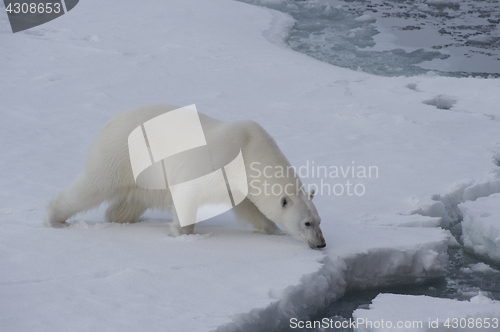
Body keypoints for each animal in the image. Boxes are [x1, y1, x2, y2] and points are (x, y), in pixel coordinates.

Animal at [47, 104, 326, 249]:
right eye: (307, 223)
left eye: (318, 220)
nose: (321, 243)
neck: (249, 149)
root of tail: (112, 121)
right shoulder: (219, 161)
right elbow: (188, 193)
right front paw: (183, 235)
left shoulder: (240, 181)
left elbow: (250, 208)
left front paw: (274, 231)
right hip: (121, 154)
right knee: (94, 185)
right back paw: (55, 218)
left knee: (130, 201)